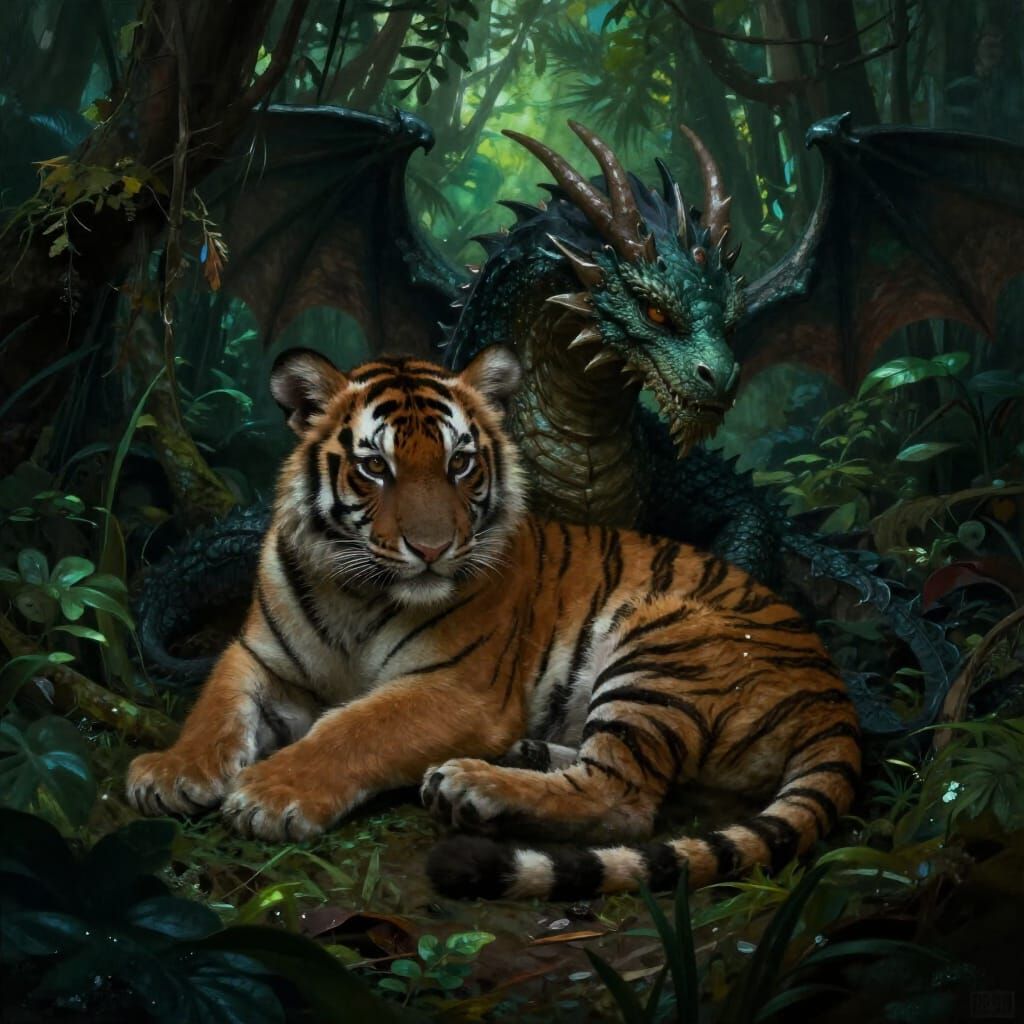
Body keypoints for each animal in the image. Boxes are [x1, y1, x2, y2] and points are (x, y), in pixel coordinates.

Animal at [125, 345, 861, 901]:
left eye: (459, 463)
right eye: (375, 467)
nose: (431, 548)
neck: (354, 593)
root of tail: (836, 696)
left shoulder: (457, 688)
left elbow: (353, 729)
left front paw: (271, 794)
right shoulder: (258, 656)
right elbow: (214, 705)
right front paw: (170, 772)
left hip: (660, 643)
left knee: (622, 796)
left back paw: (473, 786)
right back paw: (518, 757)